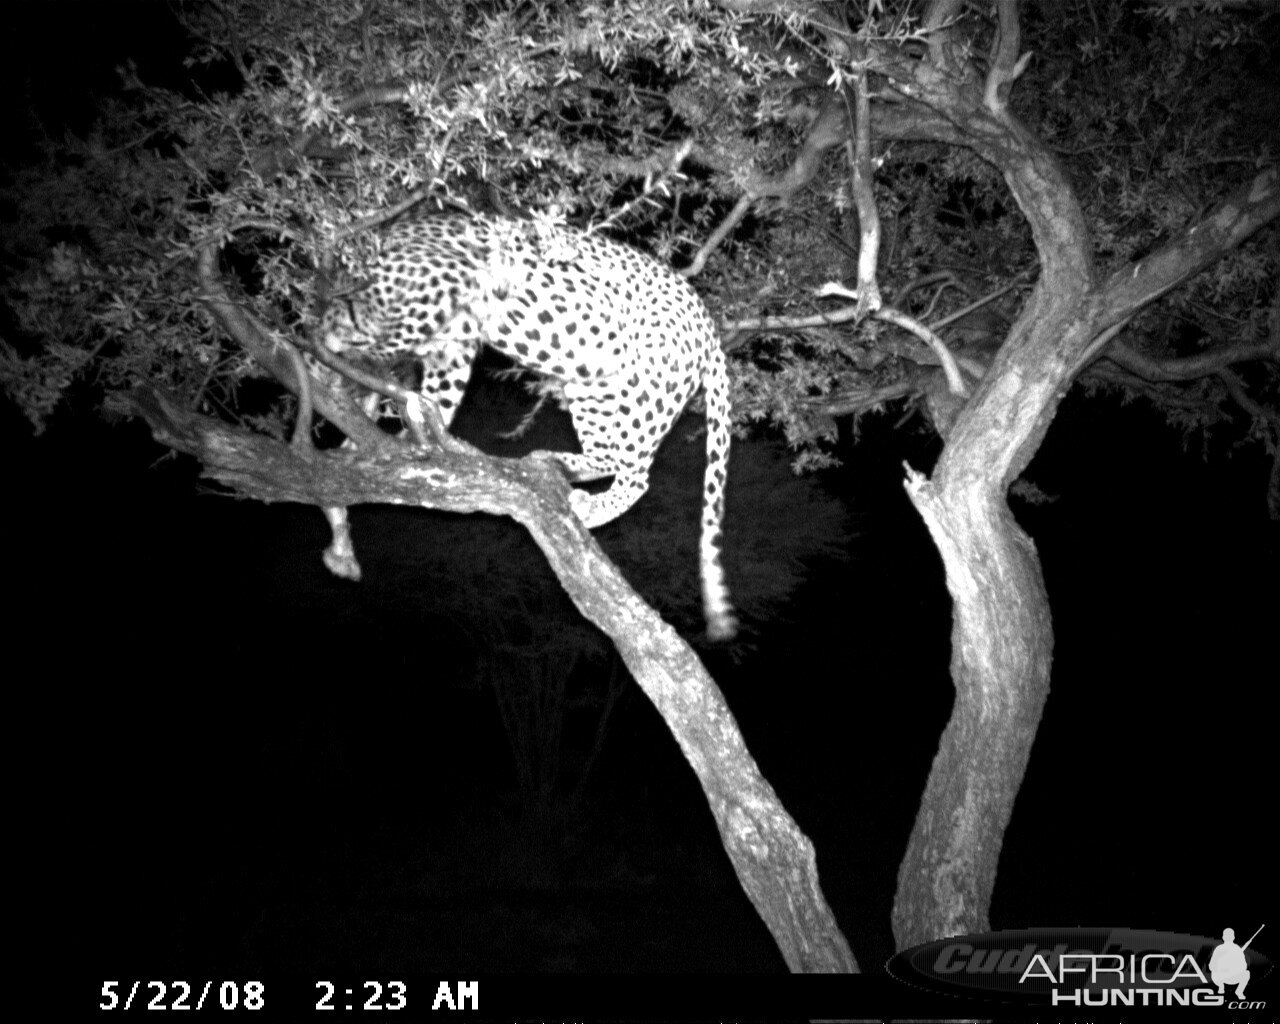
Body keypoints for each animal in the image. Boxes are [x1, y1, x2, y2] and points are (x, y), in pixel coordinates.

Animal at [317, 212, 742, 634]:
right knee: (606, 454)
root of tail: (710, 330)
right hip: (591, 383)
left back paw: (592, 504)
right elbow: (434, 396)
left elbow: (379, 338)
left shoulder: (444, 283)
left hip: (645, 392)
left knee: (636, 475)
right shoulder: (451, 347)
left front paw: (338, 353)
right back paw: (558, 464)